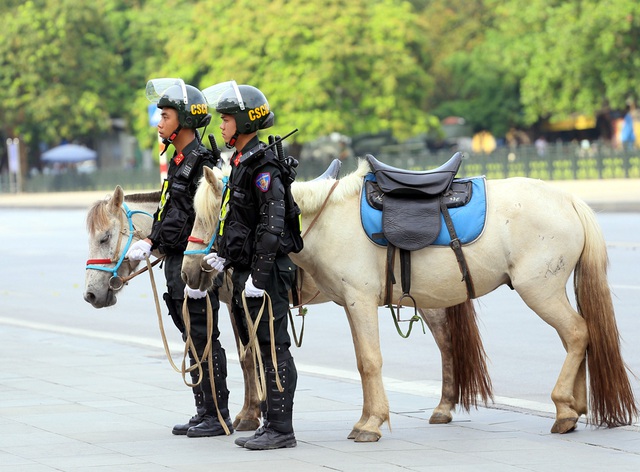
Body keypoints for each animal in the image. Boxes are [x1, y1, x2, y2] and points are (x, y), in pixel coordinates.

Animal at [188, 159, 636, 438]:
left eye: (215, 215)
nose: (190, 271)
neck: (323, 220)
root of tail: (569, 198)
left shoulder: (358, 300)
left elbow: (368, 362)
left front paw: (370, 424)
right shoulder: (349, 304)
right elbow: (357, 361)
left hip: (539, 289)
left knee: (577, 334)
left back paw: (564, 407)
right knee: (571, 338)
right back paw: (572, 407)